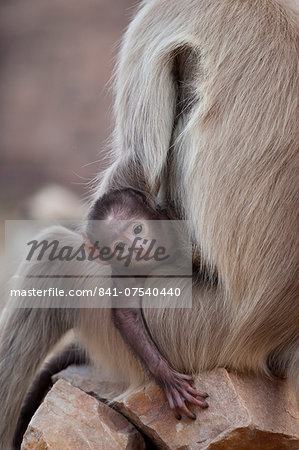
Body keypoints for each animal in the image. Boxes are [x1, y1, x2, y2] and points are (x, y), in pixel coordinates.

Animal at [83, 189, 210, 418]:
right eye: (120, 246)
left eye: (138, 228)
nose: (139, 246)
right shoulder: (125, 274)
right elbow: (127, 315)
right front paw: (165, 375)